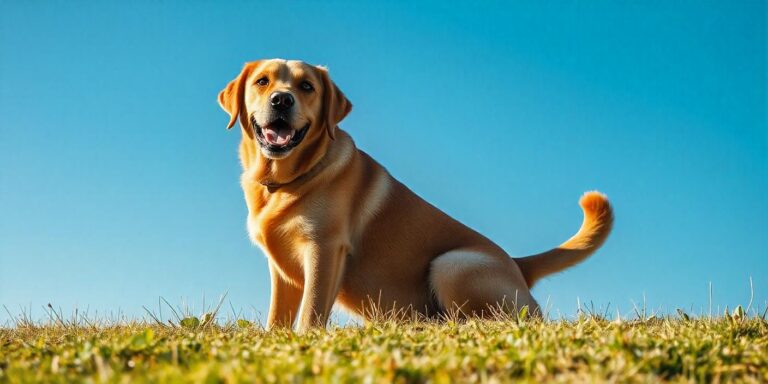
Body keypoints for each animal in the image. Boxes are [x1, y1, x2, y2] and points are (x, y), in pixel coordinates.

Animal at [219, 58, 616, 332]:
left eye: (306, 86)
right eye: (262, 81)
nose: (281, 100)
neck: (287, 182)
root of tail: (518, 264)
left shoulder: (325, 249)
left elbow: (311, 312)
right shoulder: (282, 270)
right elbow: (277, 318)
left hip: (451, 264)